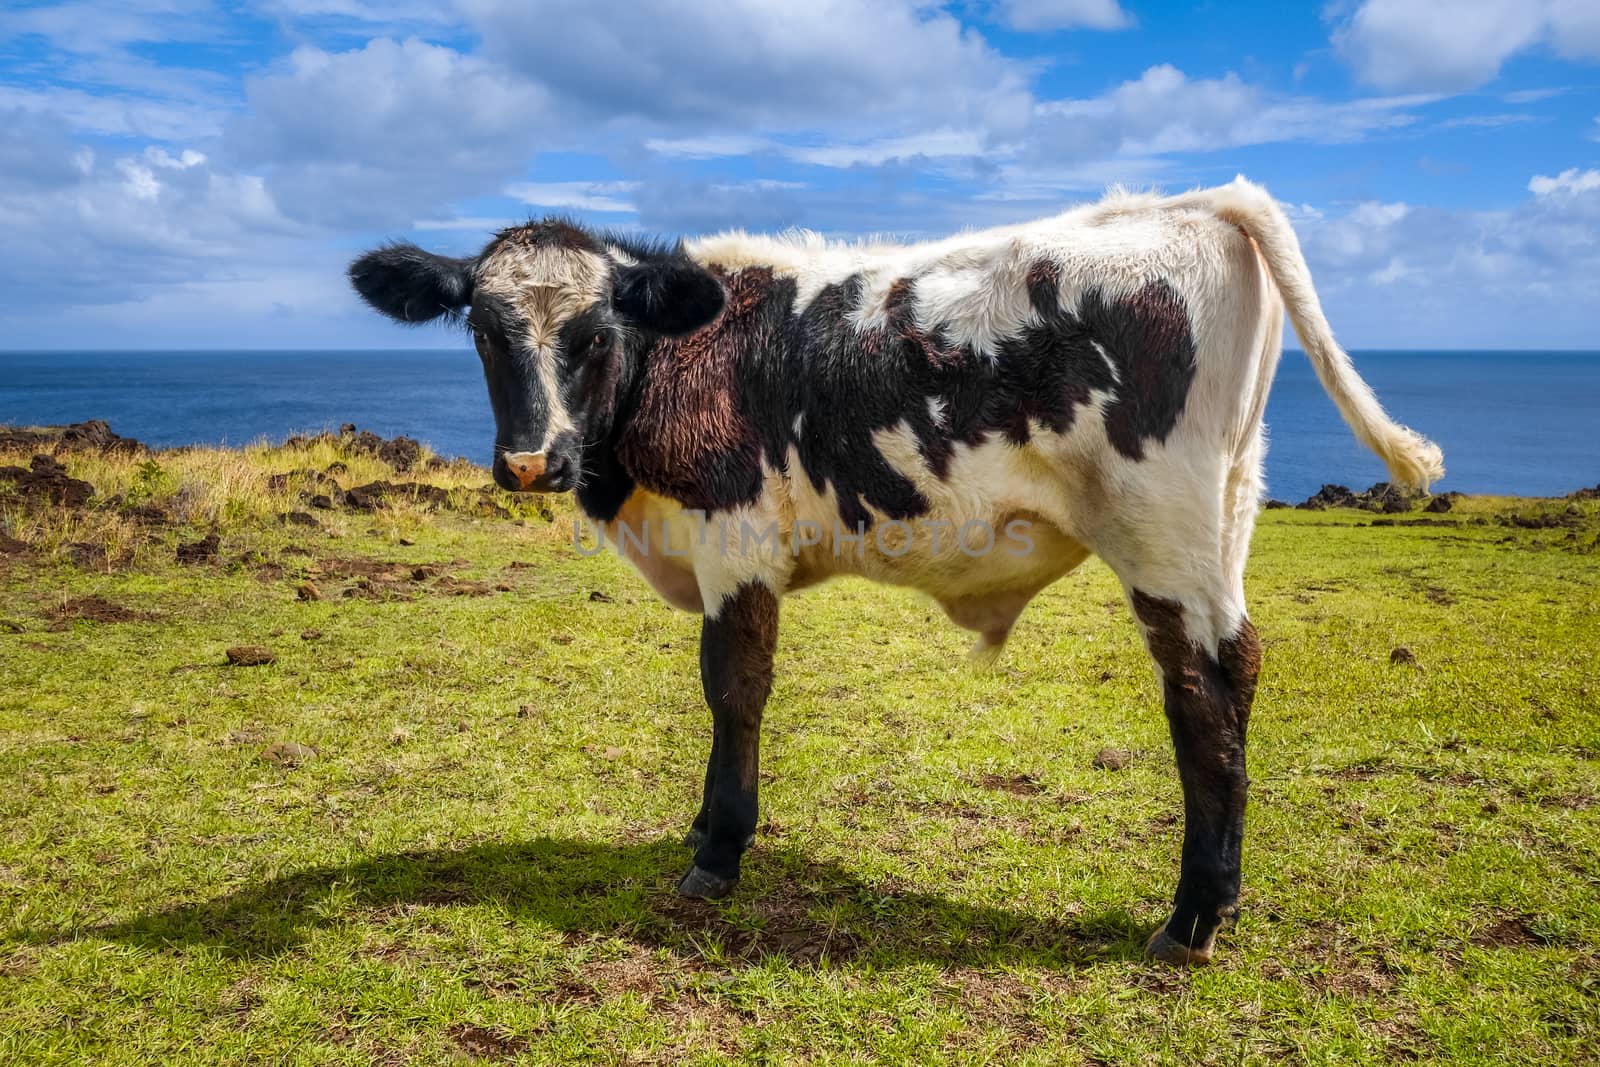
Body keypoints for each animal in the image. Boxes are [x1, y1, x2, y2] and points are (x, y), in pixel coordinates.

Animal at [353, 181, 1452, 966]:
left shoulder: (734, 533)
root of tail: (1188, 204)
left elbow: (733, 686)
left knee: (1203, 688)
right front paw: (708, 831)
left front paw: (717, 850)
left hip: (1162, 527)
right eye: (485, 330)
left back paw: (1191, 919)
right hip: (1226, 510)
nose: (531, 461)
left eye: (593, 334)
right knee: (1233, 668)